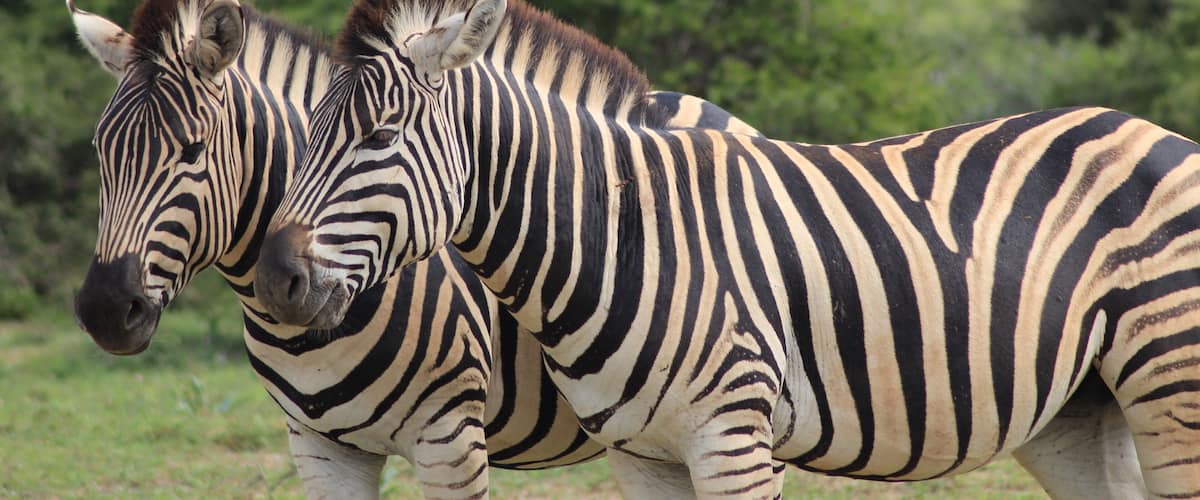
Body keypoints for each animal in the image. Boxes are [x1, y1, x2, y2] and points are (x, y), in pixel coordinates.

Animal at [254, 0, 1200, 498]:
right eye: (306, 131)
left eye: (379, 137)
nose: (275, 278)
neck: (622, 239)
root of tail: (1150, 130)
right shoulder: (641, 455)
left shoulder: (734, 440)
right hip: (1082, 406)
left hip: (1170, 385)